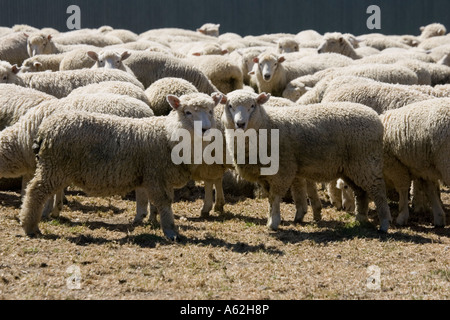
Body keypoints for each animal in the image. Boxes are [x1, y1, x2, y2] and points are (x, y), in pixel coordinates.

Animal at [19, 91, 223, 239]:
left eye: (211, 111)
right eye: (187, 112)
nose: (205, 128)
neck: (169, 135)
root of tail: (45, 129)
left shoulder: (154, 176)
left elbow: (152, 202)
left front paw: (153, 221)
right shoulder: (156, 174)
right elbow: (164, 203)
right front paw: (171, 232)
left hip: (55, 168)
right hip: (54, 166)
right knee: (35, 191)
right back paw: (30, 226)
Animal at [223, 90, 392, 232]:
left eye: (252, 105)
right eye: (230, 106)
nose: (240, 124)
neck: (267, 124)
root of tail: (376, 117)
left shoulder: (282, 171)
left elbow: (275, 197)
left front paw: (274, 222)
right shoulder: (265, 175)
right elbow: (276, 197)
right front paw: (277, 219)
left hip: (366, 161)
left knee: (378, 191)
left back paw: (384, 224)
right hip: (352, 168)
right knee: (361, 193)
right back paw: (360, 220)